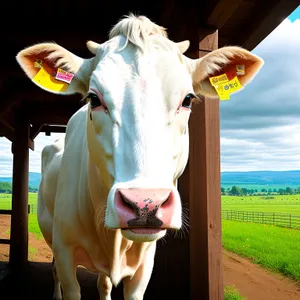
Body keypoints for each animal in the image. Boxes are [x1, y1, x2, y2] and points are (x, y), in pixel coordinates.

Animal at [16, 13, 264, 298]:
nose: (146, 204)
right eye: (94, 98)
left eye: (188, 99)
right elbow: (67, 281)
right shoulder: (65, 252)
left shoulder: (145, 263)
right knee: (56, 271)